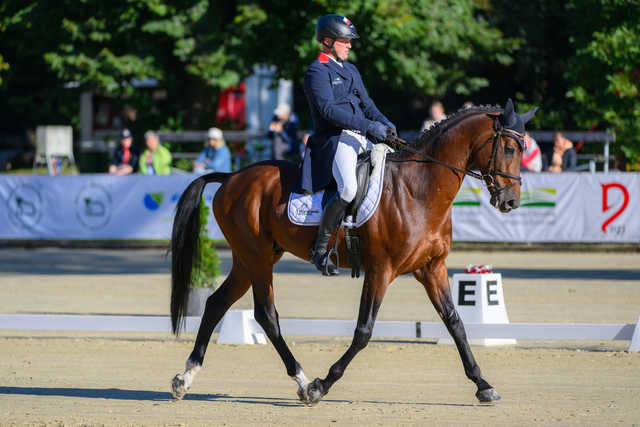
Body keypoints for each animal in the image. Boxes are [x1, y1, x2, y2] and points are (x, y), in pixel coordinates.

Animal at [169, 102, 536, 406]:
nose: (510, 201)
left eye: (523, 149)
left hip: (251, 259)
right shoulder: (380, 270)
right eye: (508, 147)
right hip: (257, 259)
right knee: (266, 315)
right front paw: (322, 384)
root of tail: (232, 177)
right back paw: (303, 382)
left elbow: (455, 323)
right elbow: (363, 332)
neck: (419, 190)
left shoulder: (432, 268)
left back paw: (185, 378)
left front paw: (483, 385)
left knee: (217, 303)